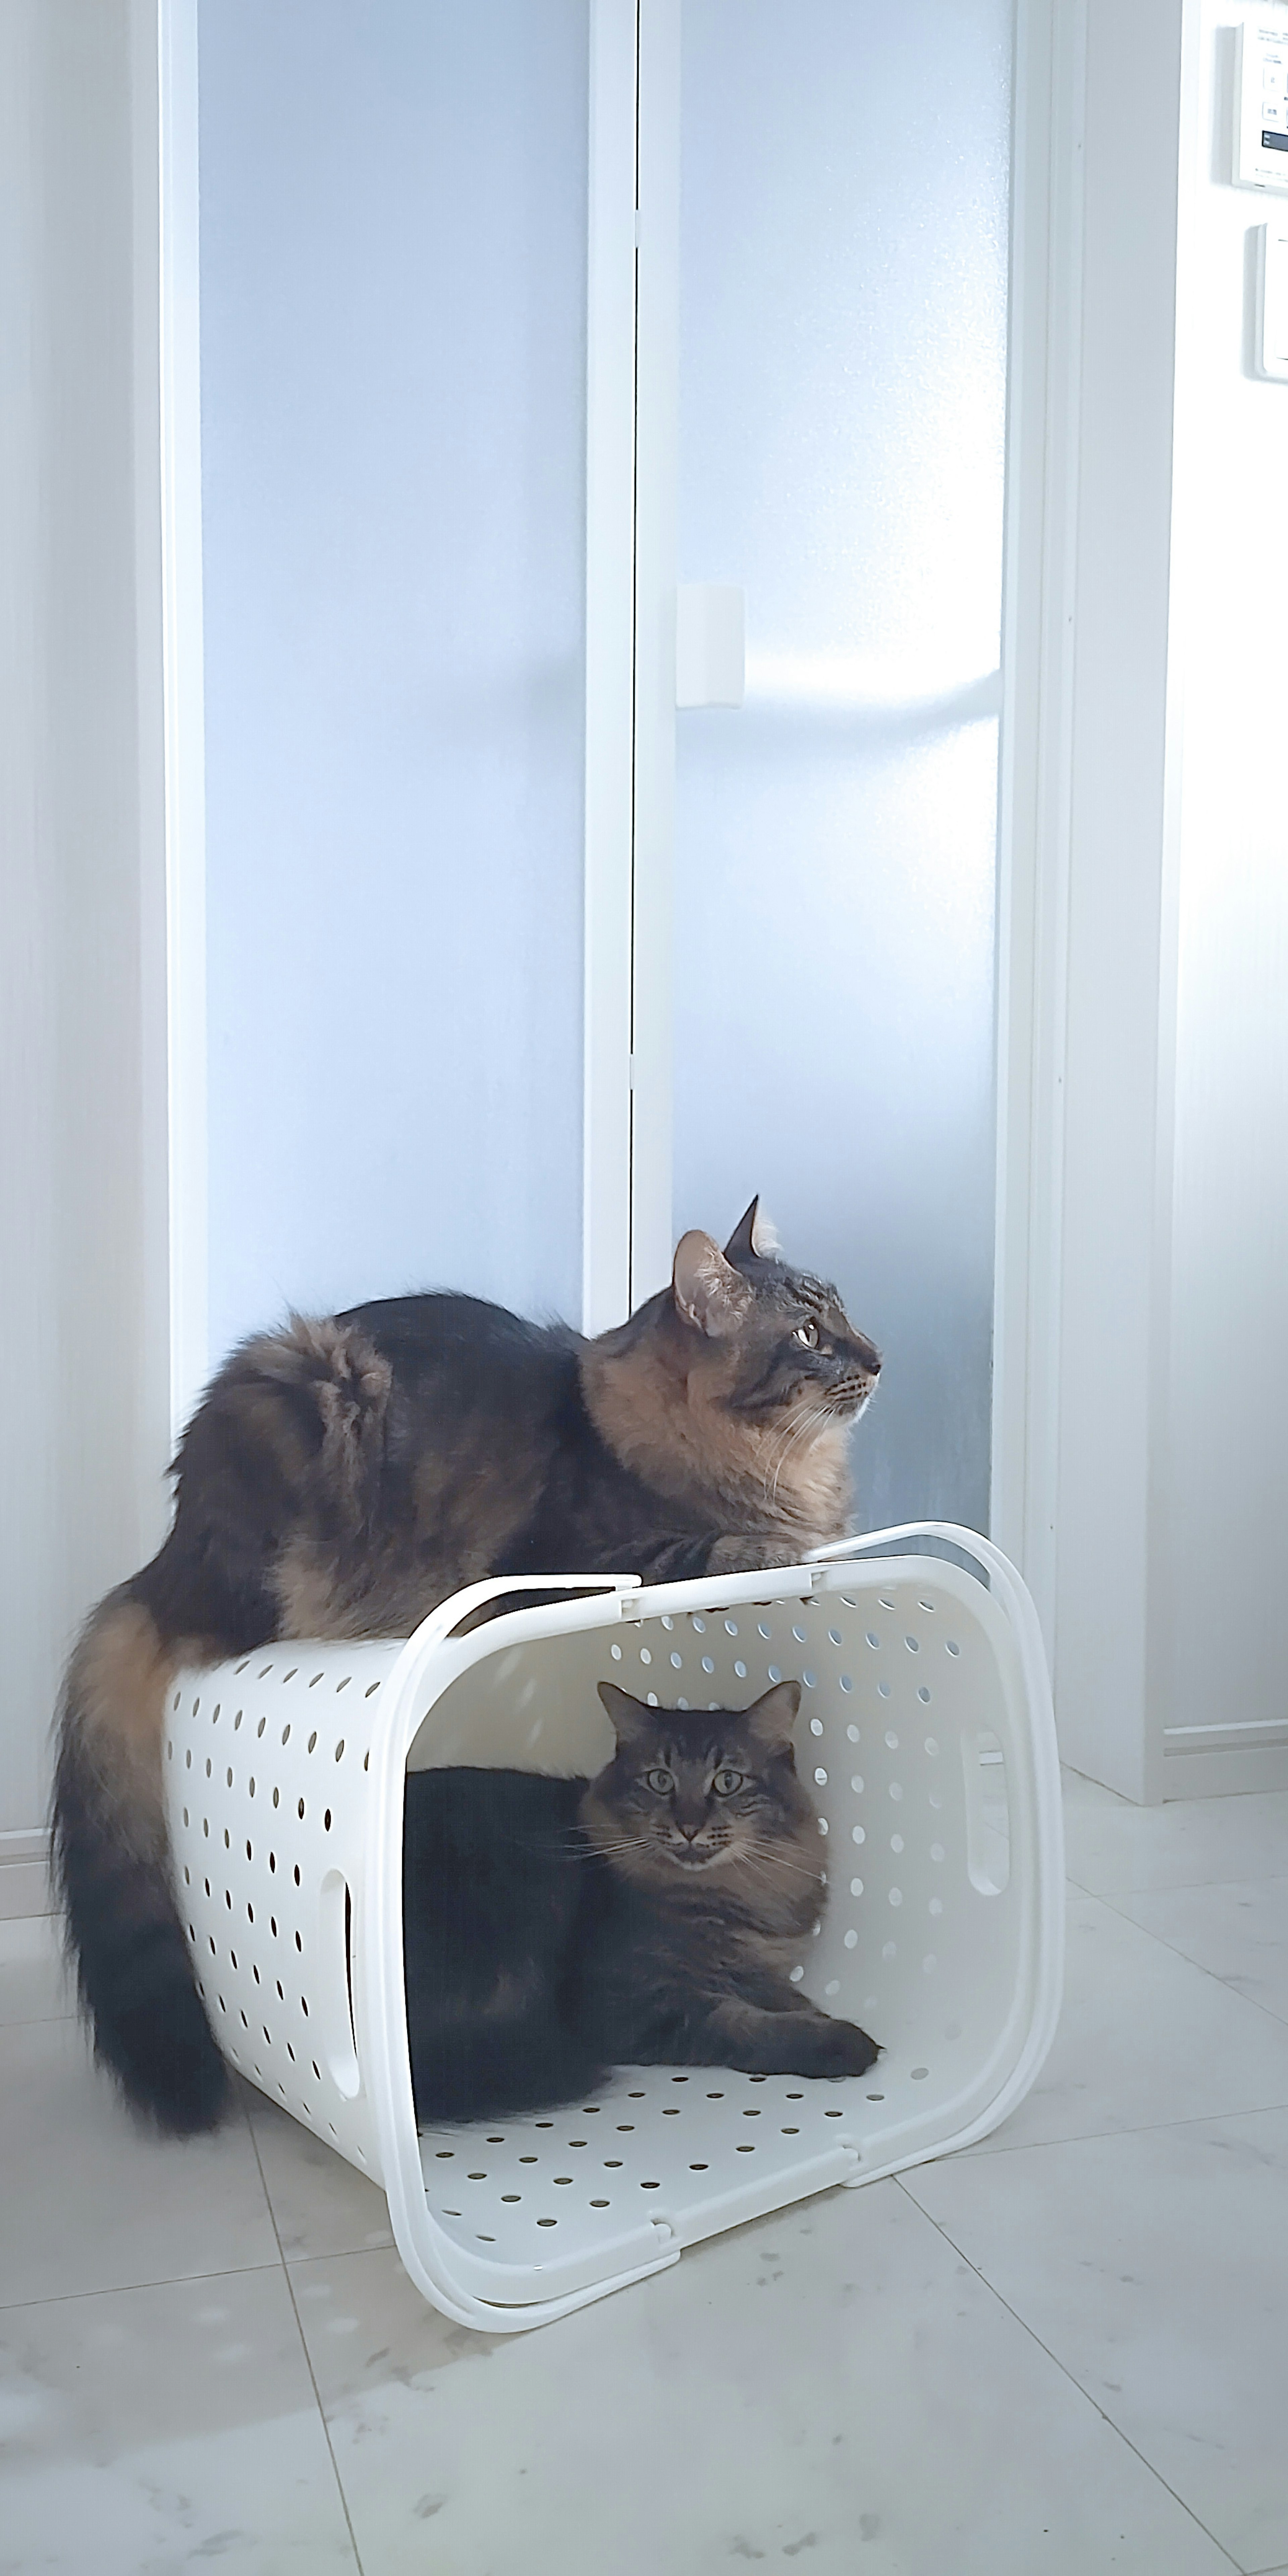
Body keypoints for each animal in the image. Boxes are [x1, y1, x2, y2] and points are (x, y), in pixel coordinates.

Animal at [407, 1679, 881, 2123]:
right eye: (661, 1780)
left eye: (727, 1782)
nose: (689, 1827)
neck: (728, 1890)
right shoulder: (623, 2000)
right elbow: (737, 2023)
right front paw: (843, 2042)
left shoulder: (761, 1971)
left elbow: (790, 1999)